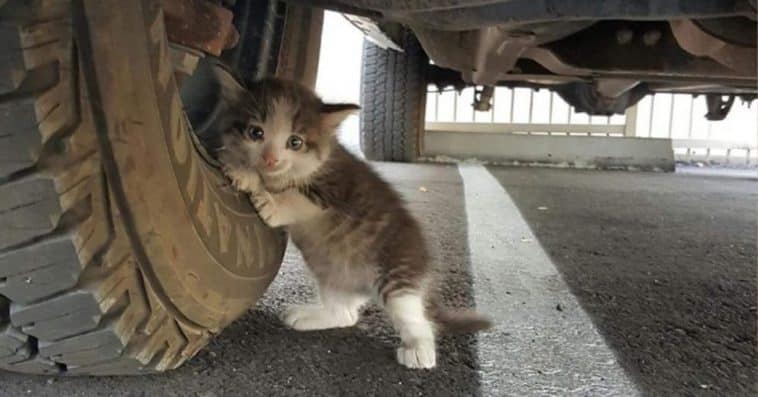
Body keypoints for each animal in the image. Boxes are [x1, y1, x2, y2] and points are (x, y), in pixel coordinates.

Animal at [211, 65, 490, 368]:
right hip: (332, 274)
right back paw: (310, 316)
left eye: (294, 141)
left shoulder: (336, 189)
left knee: (415, 316)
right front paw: (242, 169)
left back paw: (420, 349)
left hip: (396, 274)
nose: (271, 159)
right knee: (346, 315)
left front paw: (267, 197)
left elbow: (296, 197)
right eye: (255, 132)